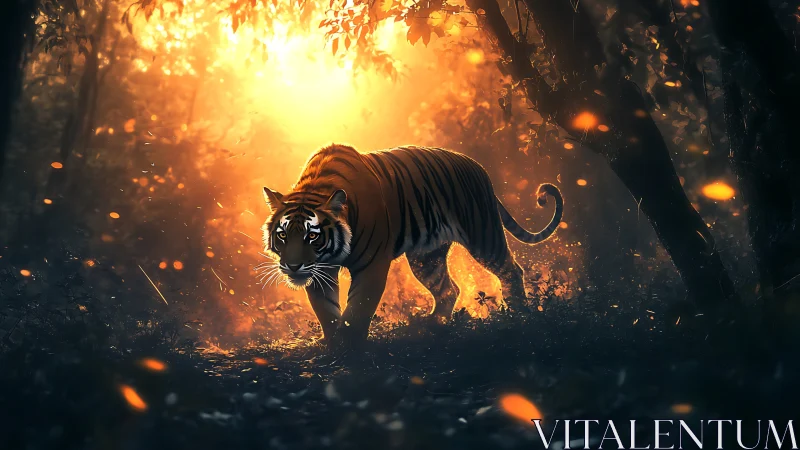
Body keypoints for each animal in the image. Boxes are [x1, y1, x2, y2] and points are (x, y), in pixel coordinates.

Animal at [260, 144, 563, 348]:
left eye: (312, 236)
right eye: (283, 235)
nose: (293, 266)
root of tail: (479, 168)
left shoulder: (371, 266)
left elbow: (358, 308)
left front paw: (351, 346)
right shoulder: (320, 270)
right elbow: (326, 310)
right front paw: (334, 343)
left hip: (483, 234)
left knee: (511, 271)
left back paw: (518, 314)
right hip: (426, 258)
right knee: (449, 290)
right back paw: (432, 325)